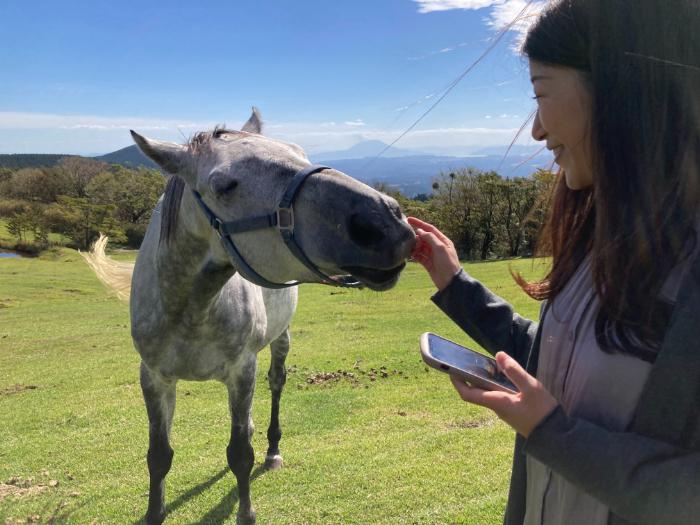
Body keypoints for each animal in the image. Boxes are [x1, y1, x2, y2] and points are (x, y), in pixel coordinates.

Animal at [85, 108, 418, 520]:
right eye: (224, 186)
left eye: (300, 153)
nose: (385, 223)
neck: (190, 307)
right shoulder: (154, 377)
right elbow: (159, 456)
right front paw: (154, 512)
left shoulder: (241, 370)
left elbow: (240, 454)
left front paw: (246, 511)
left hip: (279, 341)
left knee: (275, 385)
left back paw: (272, 448)